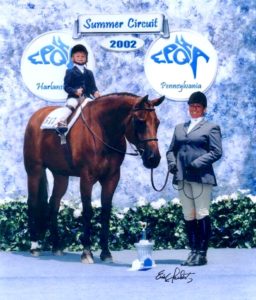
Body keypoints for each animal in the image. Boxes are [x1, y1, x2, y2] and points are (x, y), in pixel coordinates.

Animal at [23, 92, 164, 262]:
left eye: (157, 123)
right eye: (140, 121)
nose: (153, 158)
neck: (102, 130)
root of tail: (35, 117)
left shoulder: (111, 178)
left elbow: (106, 212)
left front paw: (106, 253)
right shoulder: (86, 178)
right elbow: (88, 211)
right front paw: (87, 253)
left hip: (61, 176)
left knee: (54, 204)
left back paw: (57, 247)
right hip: (34, 171)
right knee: (32, 203)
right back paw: (34, 246)